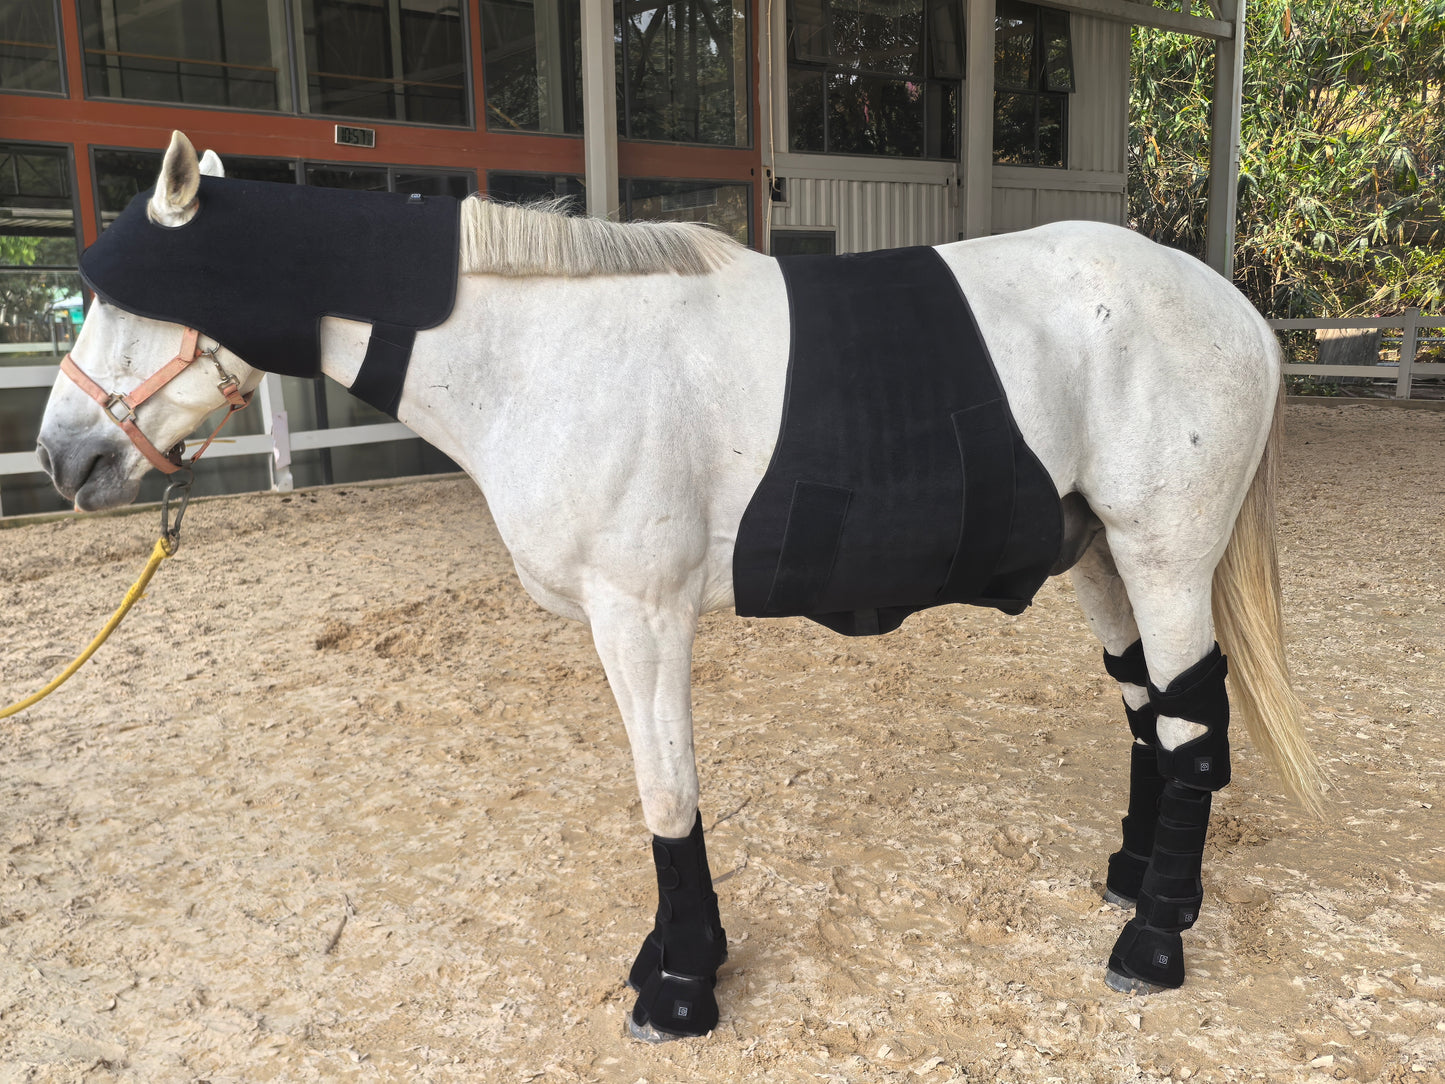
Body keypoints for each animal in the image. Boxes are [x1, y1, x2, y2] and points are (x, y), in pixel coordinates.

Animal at [35, 131, 1322, 1041]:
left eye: (129, 295)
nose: (59, 457)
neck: (544, 356)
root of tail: (1235, 309)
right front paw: (667, 959)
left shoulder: (637, 612)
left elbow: (666, 792)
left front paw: (682, 984)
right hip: (1097, 554)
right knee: (1148, 712)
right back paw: (1133, 883)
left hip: (1160, 555)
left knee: (1190, 732)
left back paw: (1151, 943)